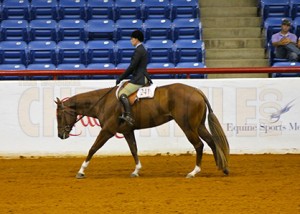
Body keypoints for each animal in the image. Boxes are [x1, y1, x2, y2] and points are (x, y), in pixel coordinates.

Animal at [55, 83, 230, 178]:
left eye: (59, 116)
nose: (60, 135)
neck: (103, 102)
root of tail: (196, 91)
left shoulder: (107, 130)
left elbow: (93, 148)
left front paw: (81, 171)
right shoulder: (127, 131)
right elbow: (134, 149)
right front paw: (136, 171)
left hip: (188, 126)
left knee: (199, 145)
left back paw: (194, 172)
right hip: (198, 125)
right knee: (211, 142)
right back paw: (223, 168)